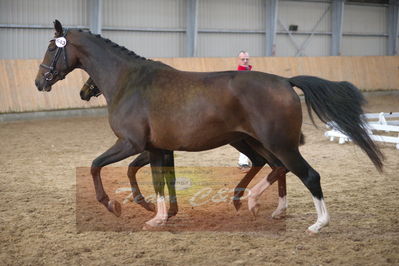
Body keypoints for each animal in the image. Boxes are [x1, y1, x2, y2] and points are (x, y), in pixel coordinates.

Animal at [79, 77, 290, 220]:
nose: (83, 92)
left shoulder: (157, 150)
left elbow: (141, 171)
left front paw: (155, 207)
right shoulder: (160, 150)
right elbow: (148, 172)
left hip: (246, 141)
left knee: (274, 164)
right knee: (272, 164)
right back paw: (270, 207)